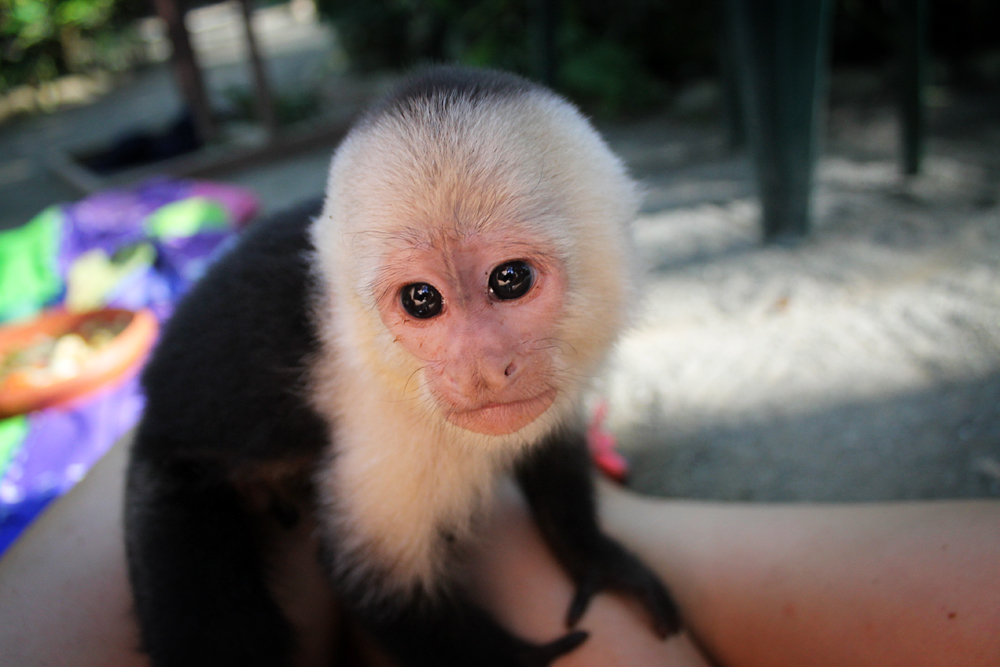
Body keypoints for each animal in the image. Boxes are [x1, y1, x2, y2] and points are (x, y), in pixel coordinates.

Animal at [125, 66, 680, 667]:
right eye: (421, 299)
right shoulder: (391, 426)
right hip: (165, 488)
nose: (481, 369)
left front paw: (595, 555)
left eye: (510, 279)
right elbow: (377, 581)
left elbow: (551, 444)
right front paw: (529, 659)